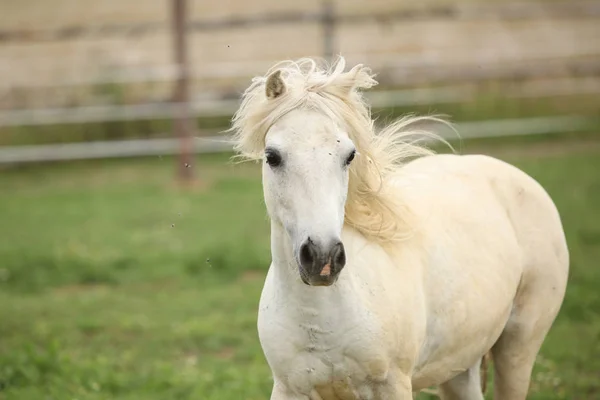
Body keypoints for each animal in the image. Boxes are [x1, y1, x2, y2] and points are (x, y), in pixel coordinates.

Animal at [229, 57, 568, 400]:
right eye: (272, 156)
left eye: (349, 156)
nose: (323, 259)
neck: (320, 316)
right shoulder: (290, 389)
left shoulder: (392, 386)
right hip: (459, 365)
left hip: (518, 347)